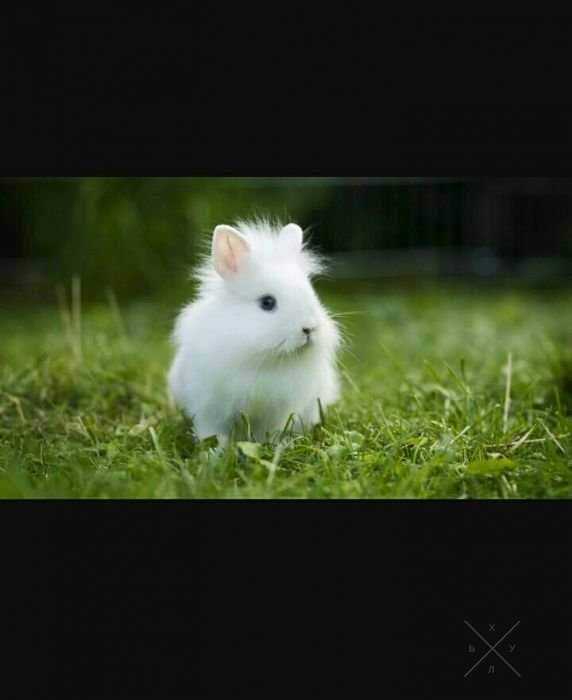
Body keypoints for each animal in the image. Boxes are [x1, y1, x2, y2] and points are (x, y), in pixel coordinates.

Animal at [167, 218, 341, 448]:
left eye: (312, 293)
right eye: (267, 302)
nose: (309, 328)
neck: (262, 359)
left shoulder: (277, 411)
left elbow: (267, 431)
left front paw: (271, 445)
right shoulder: (208, 408)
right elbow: (212, 431)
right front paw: (215, 451)